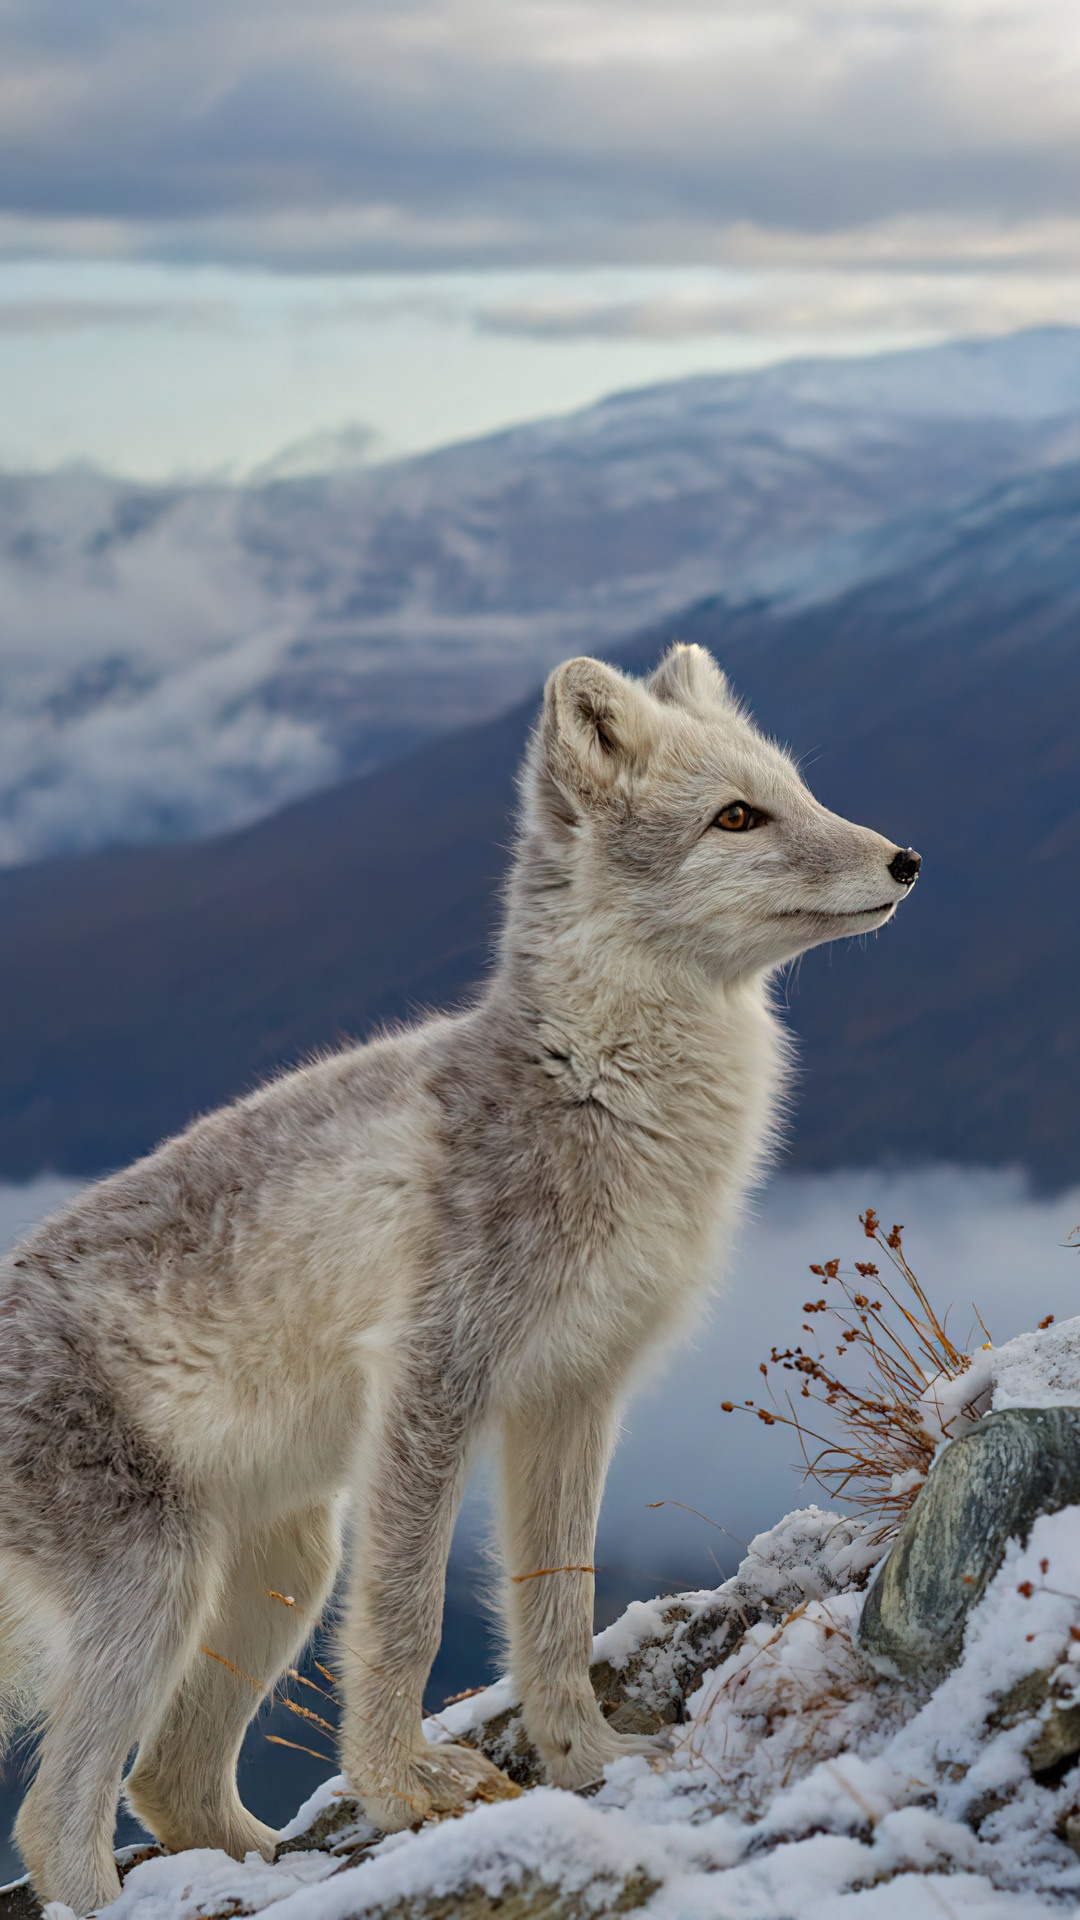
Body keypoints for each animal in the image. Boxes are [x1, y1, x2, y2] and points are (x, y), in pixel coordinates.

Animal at [0, 644, 919, 1913]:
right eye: (738, 817)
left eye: (798, 790)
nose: (906, 860)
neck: (595, 1090)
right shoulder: (435, 1384)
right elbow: (414, 1618)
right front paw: (406, 1791)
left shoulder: (576, 1397)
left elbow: (555, 1604)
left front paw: (585, 1760)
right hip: (163, 1586)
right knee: (56, 1822)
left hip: (283, 1567)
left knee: (167, 1788)